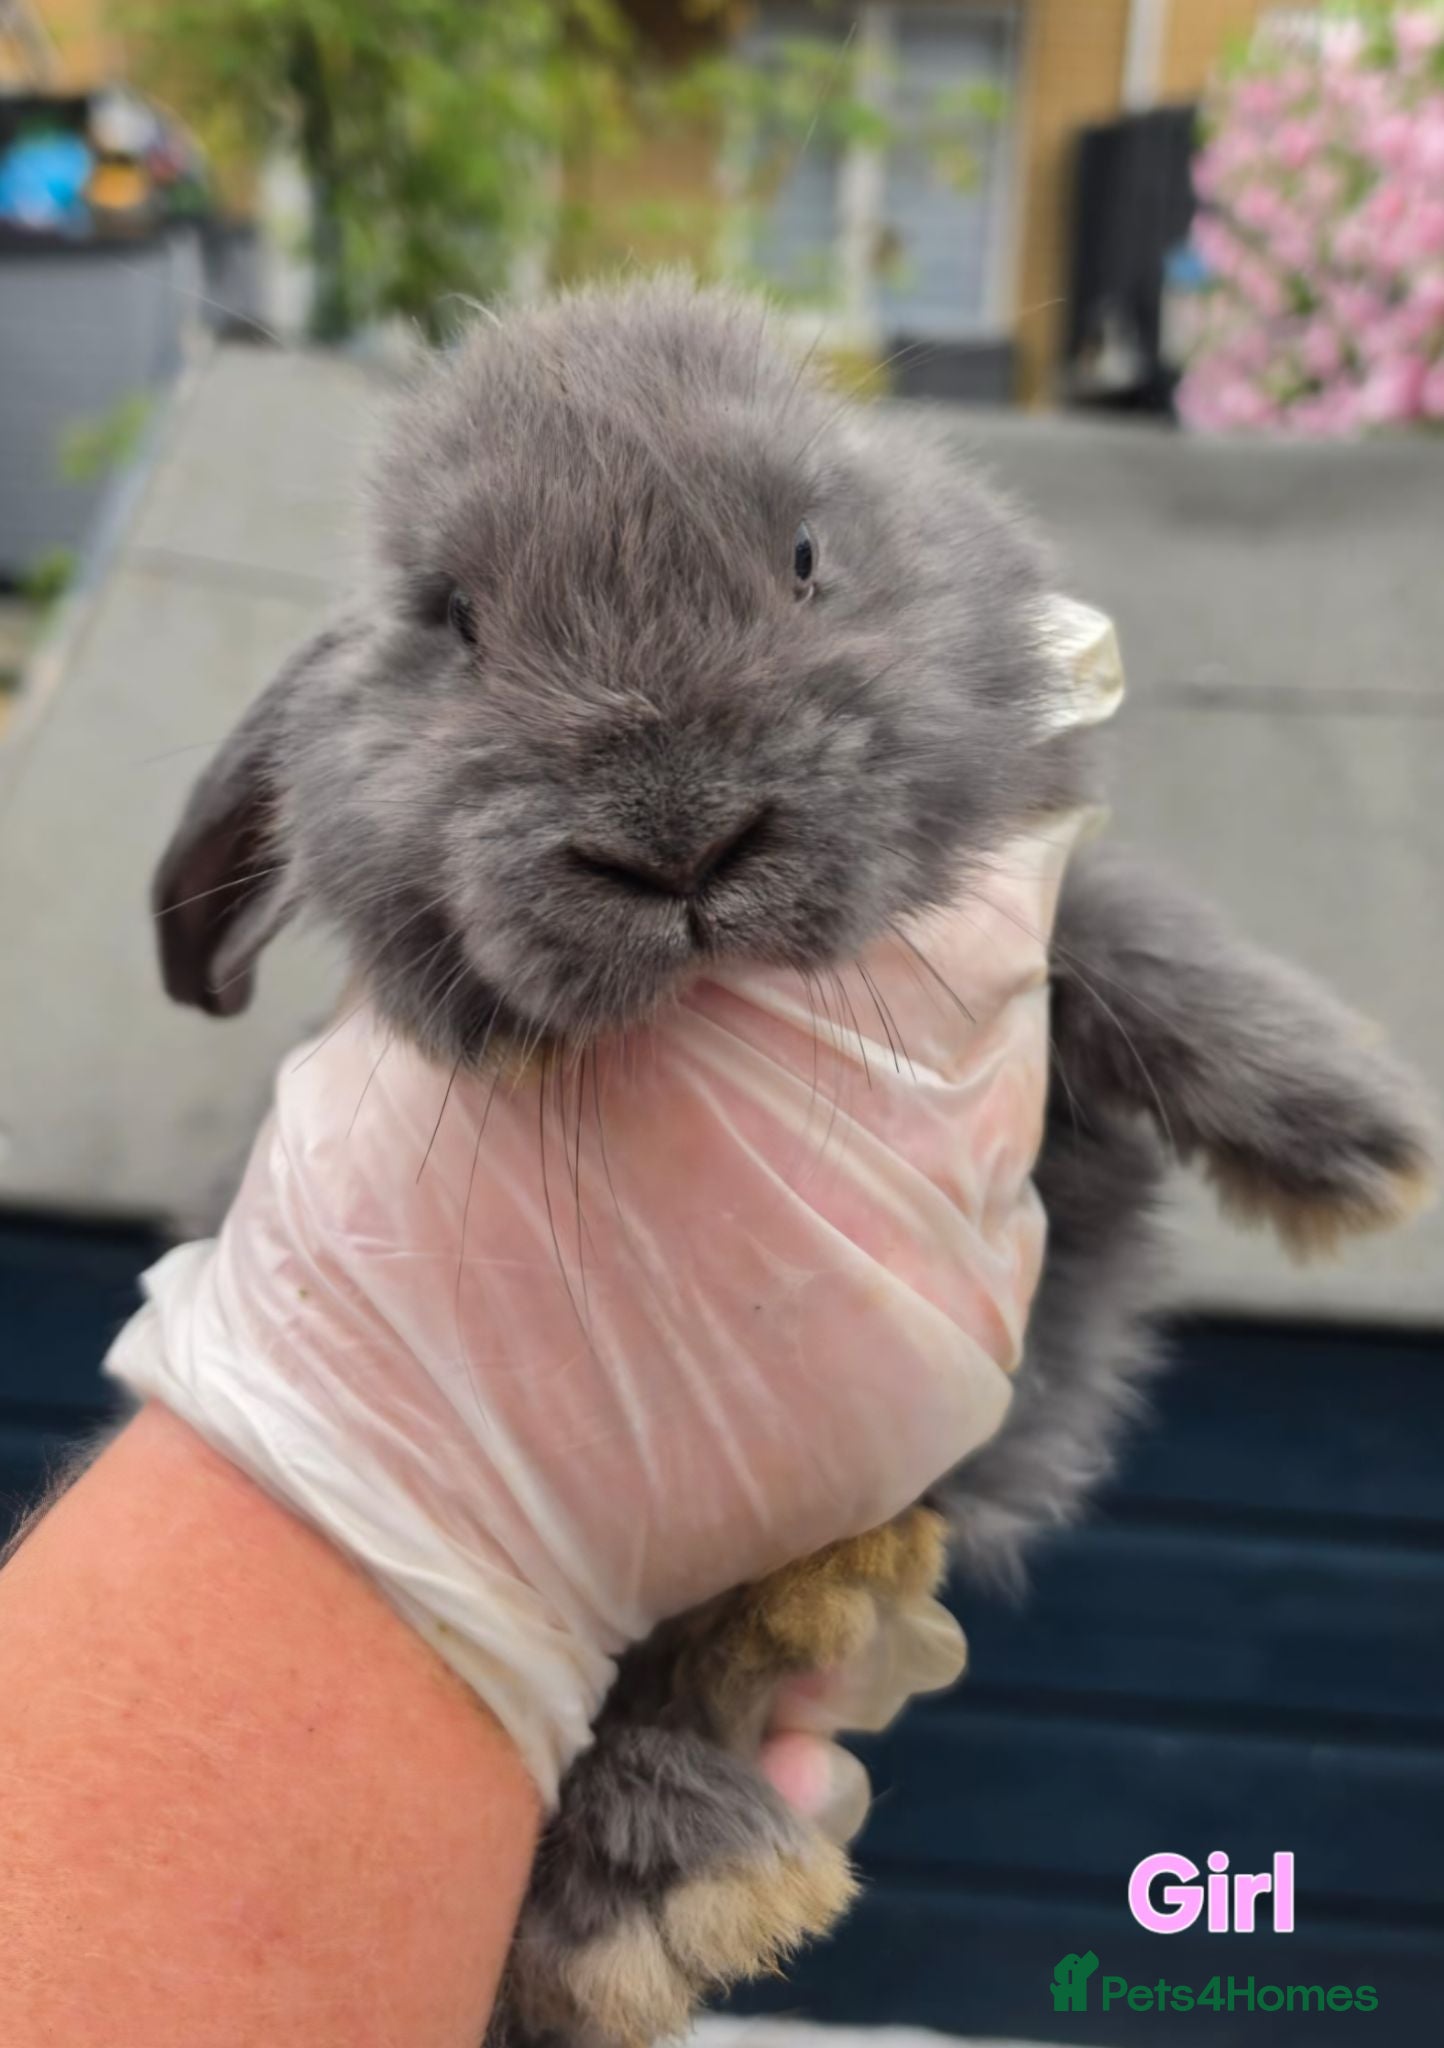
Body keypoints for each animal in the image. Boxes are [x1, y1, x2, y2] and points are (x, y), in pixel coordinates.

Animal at [152, 277, 1435, 2048]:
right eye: (453, 621)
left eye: (811, 553)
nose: (677, 840)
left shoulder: (1037, 948)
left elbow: (1129, 933)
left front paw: (1354, 1138)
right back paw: (652, 1896)